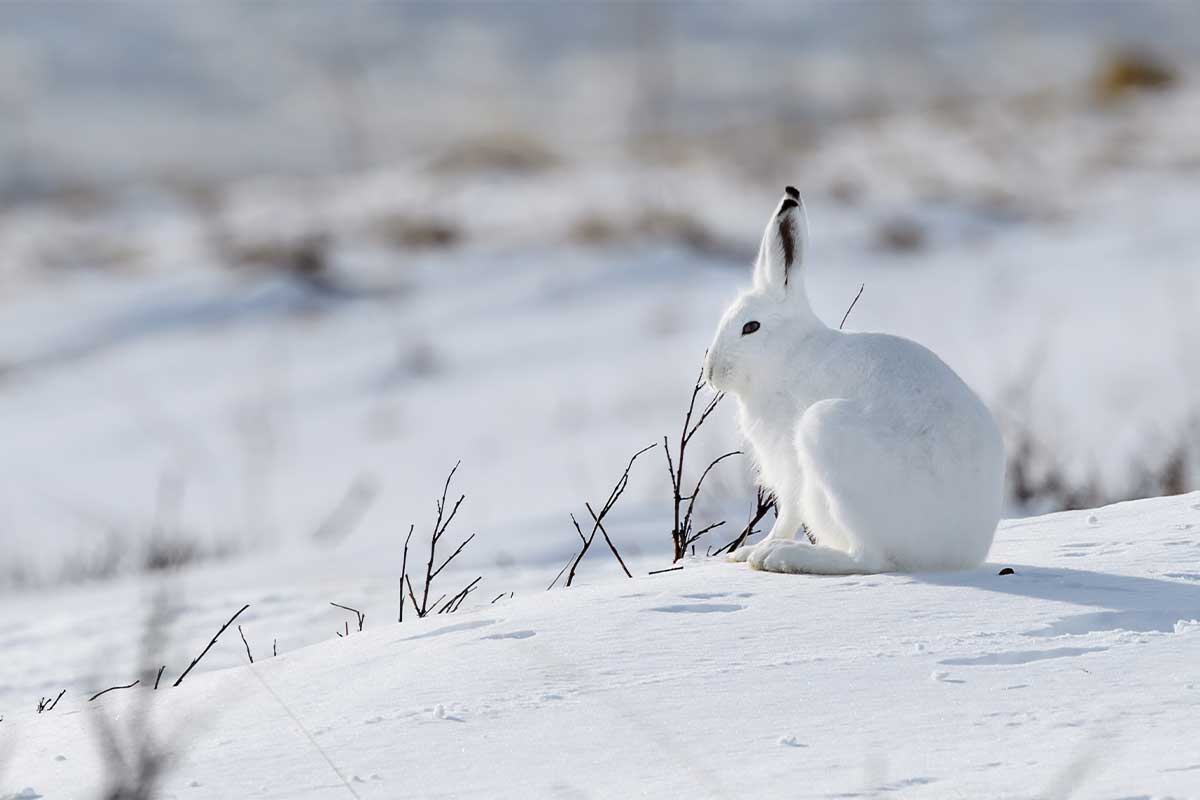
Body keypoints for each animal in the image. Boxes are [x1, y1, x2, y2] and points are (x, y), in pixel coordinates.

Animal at [705, 187, 1004, 574]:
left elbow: (788, 512)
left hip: (826, 432)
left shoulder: (789, 464)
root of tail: (958, 551)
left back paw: (786, 556)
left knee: (870, 558)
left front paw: (756, 550)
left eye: (751, 327)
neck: (789, 353)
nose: (711, 373)